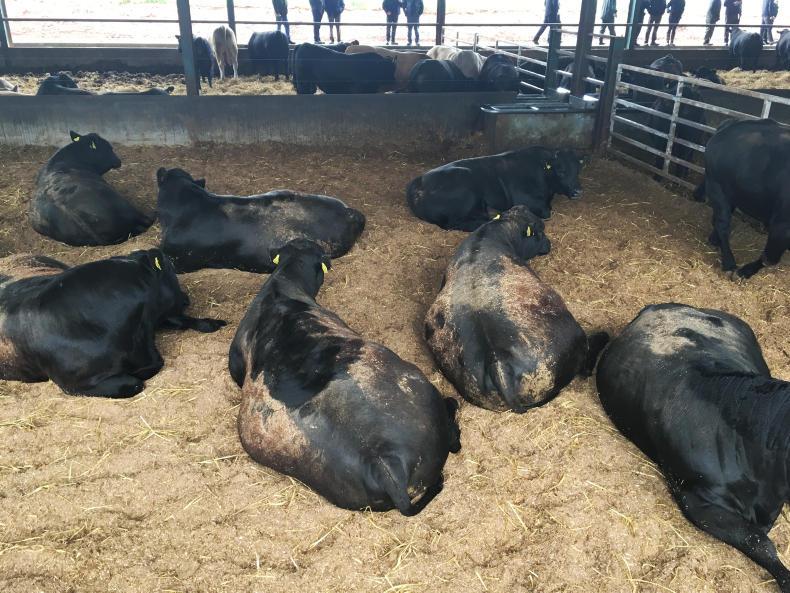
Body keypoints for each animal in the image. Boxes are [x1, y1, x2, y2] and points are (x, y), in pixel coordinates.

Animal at [406, 147, 585, 231]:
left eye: (578, 169)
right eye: (561, 170)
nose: (578, 191)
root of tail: (418, 181)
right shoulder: (525, 200)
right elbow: (547, 213)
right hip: (466, 193)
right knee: (453, 224)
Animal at [693, 118, 789, 279]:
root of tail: (733, 122)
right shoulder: (781, 226)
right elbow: (769, 258)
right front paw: (745, 271)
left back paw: (714, 240)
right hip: (717, 186)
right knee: (723, 224)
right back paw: (728, 262)